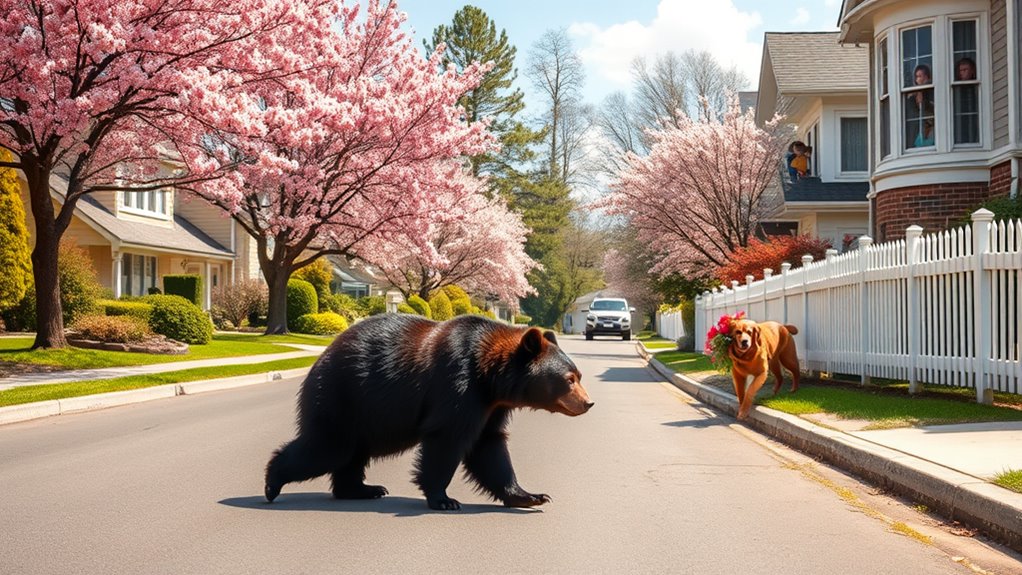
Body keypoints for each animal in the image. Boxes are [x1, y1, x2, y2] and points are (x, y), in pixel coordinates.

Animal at [264, 313, 593, 511]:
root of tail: (319, 360)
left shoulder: (492, 406)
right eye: (569, 379)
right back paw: (271, 483)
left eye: (578, 375)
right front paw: (444, 499)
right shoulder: (457, 385)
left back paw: (364, 489)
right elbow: (447, 440)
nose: (588, 403)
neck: (489, 376)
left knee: (351, 454)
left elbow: (490, 447)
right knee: (329, 447)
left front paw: (531, 496)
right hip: (342, 396)